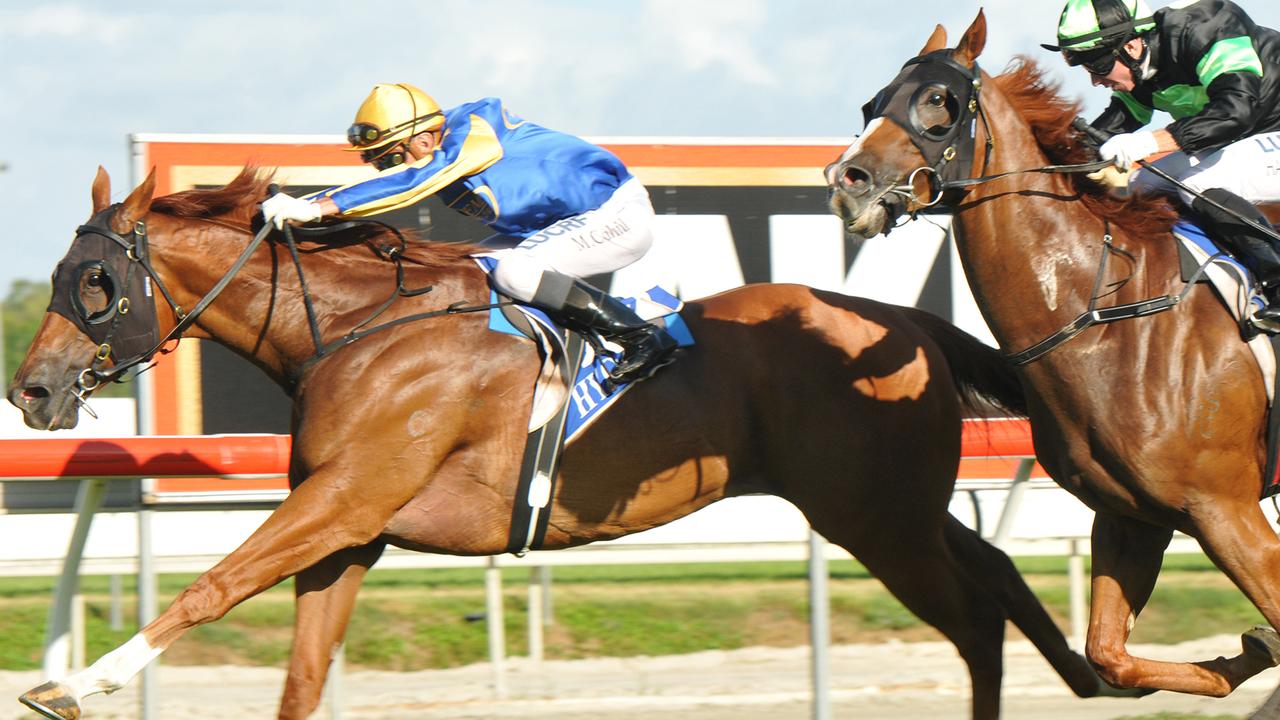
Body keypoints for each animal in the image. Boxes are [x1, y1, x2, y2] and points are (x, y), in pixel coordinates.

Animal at [10, 165, 1105, 712]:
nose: (31, 390)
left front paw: (74, 682)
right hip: (900, 508)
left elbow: (212, 585)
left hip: (875, 519)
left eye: (96, 283)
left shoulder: (346, 499)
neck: (361, 328)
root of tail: (906, 320)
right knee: (1000, 575)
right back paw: (1094, 671)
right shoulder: (346, 533)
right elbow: (301, 675)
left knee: (975, 621)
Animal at [824, 8, 1280, 696]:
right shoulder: (1132, 519)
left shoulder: (1227, 511)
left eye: (938, 101)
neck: (1105, 320)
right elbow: (1108, 656)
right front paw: (1250, 653)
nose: (848, 180)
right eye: (871, 104)